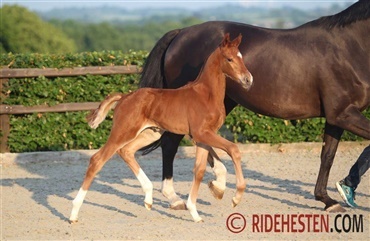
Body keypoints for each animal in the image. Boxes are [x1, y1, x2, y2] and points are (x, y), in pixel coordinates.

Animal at [69, 33, 253, 223]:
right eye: (229, 59)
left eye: (241, 57)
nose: (248, 79)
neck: (206, 94)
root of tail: (124, 97)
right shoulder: (202, 134)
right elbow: (233, 149)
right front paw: (236, 197)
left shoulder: (202, 137)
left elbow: (200, 170)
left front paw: (195, 213)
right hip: (123, 131)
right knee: (97, 160)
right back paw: (73, 213)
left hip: (150, 134)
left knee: (126, 151)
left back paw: (148, 198)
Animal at [139, 0, 370, 211]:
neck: (347, 47)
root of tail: (181, 33)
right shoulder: (343, 114)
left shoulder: (337, 117)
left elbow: (328, 156)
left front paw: (330, 199)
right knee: (171, 143)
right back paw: (176, 197)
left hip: (221, 102)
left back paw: (216, 184)